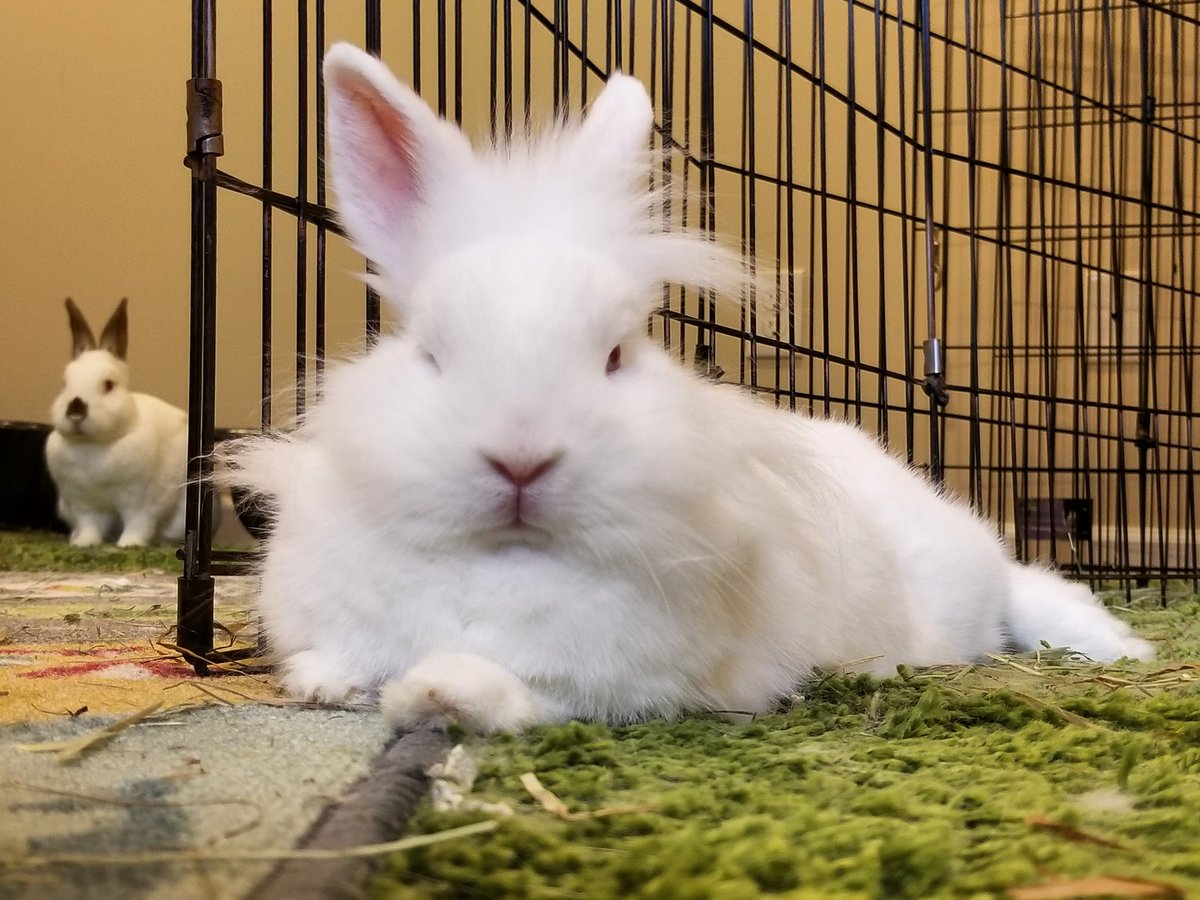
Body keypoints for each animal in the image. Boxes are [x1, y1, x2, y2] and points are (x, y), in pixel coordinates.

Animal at [45, 298, 188, 547]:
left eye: (109, 384)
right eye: (65, 383)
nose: (75, 413)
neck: (92, 446)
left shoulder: (141, 503)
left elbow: (137, 525)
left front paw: (128, 545)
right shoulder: (86, 507)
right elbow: (91, 527)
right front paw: (84, 544)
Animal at [223, 43, 1153, 734]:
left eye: (617, 353)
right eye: (429, 352)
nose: (521, 459)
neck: (502, 561)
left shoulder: (628, 685)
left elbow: (526, 692)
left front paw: (436, 691)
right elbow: (333, 653)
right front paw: (324, 684)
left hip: (963, 583)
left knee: (1031, 589)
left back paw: (1123, 648)